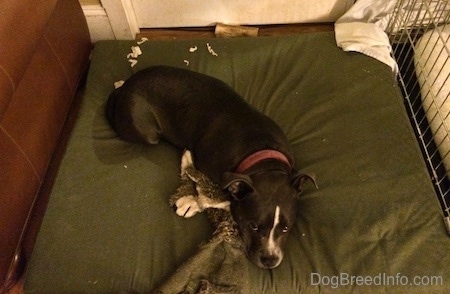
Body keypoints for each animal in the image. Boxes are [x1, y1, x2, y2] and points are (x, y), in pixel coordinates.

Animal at [107, 66, 314, 268]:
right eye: (253, 226)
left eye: (286, 228)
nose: (270, 260)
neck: (262, 156)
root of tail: (127, 87)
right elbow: (218, 194)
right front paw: (192, 200)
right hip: (148, 134)